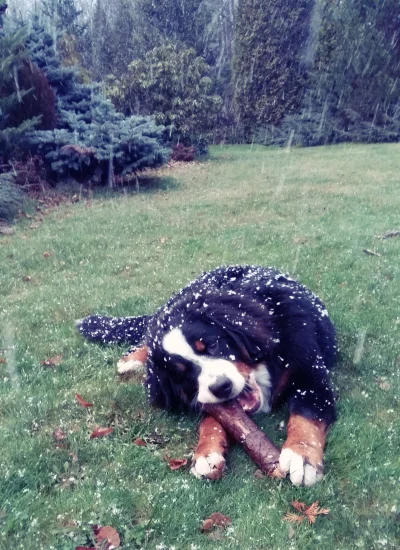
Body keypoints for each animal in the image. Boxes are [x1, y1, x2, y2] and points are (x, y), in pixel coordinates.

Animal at [76, 266, 336, 488]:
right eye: (181, 372)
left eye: (211, 345)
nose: (221, 387)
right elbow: (213, 420)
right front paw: (207, 452)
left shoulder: (311, 378)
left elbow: (306, 415)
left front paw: (301, 456)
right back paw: (133, 359)